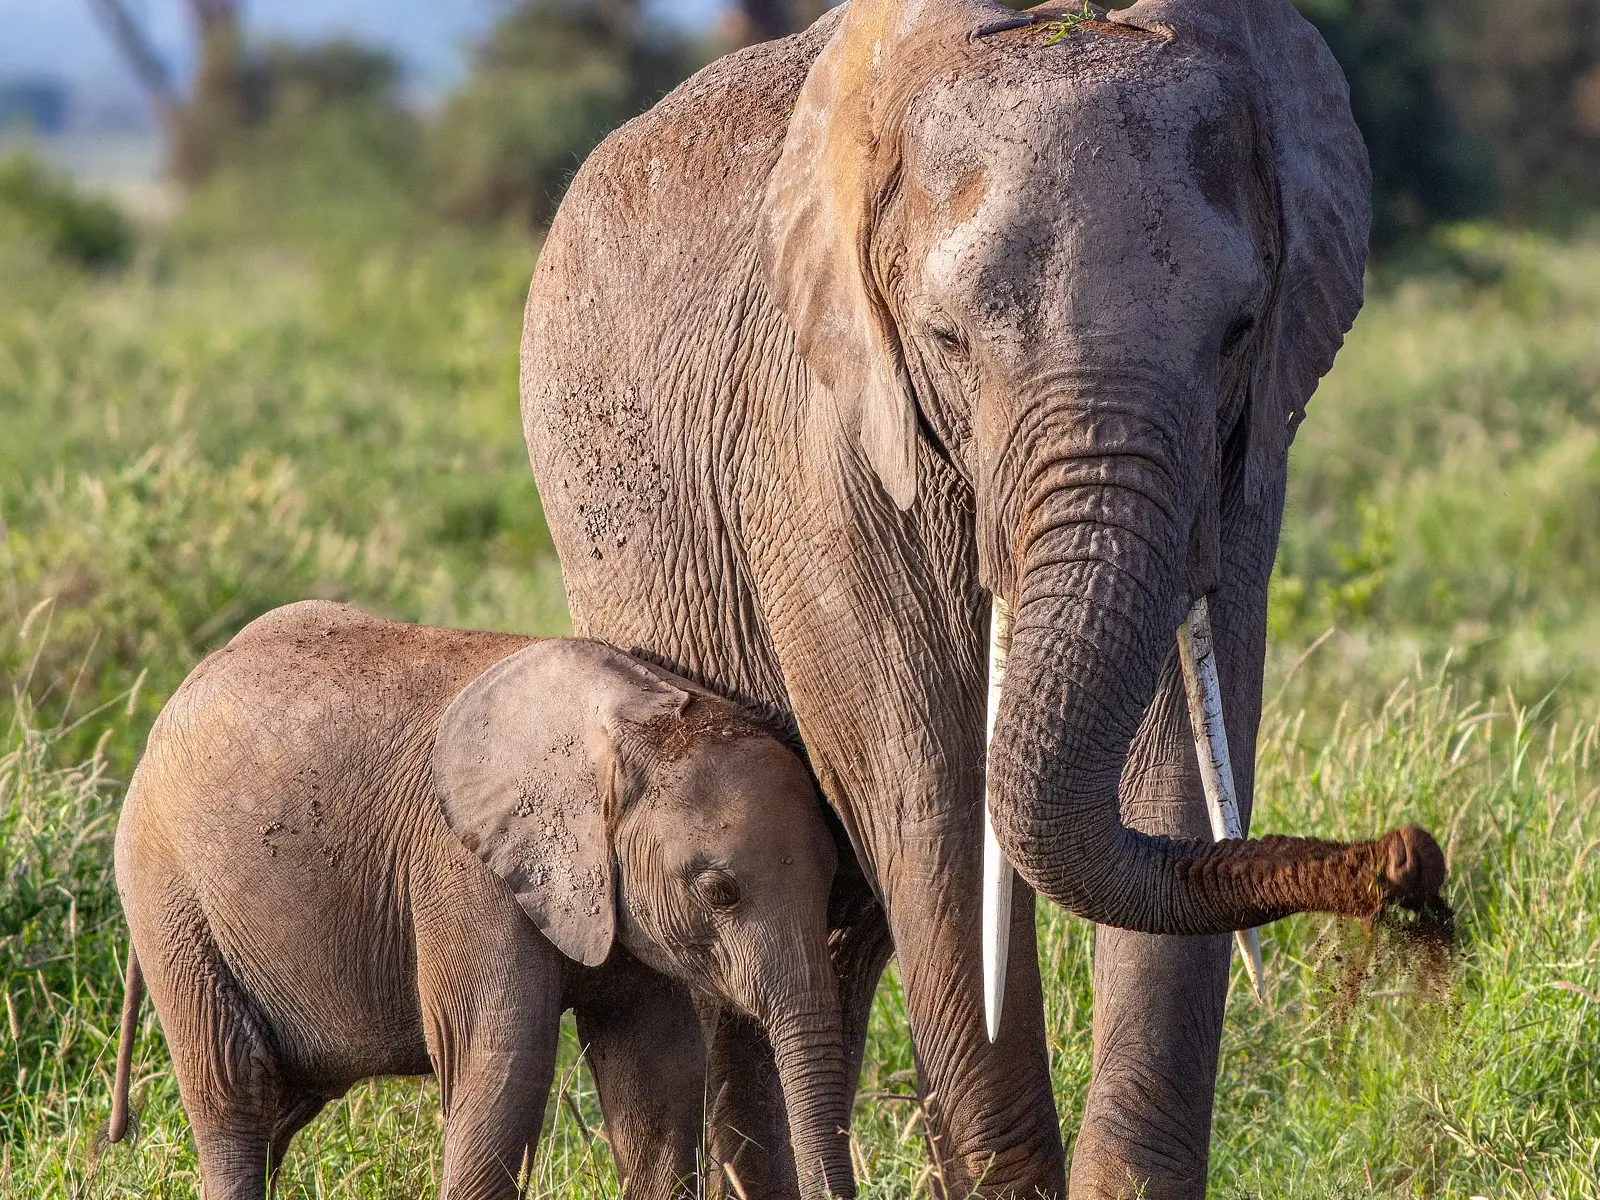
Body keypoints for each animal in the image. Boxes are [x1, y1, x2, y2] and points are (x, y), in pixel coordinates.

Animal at [111, 604, 857, 1200]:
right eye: (719, 892)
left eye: (835, 883)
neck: (635, 715)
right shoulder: (464, 870)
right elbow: (501, 1065)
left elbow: (660, 1073)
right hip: (169, 897)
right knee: (236, 1093)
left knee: (281, 1106)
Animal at [521, 2, 1440, 1200]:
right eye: (947, 341)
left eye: (1241, 329)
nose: (1408, 859)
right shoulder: (824, 446)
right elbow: (938, 801)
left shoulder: (1242, 464)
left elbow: (1176, 791)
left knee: (837, 937)